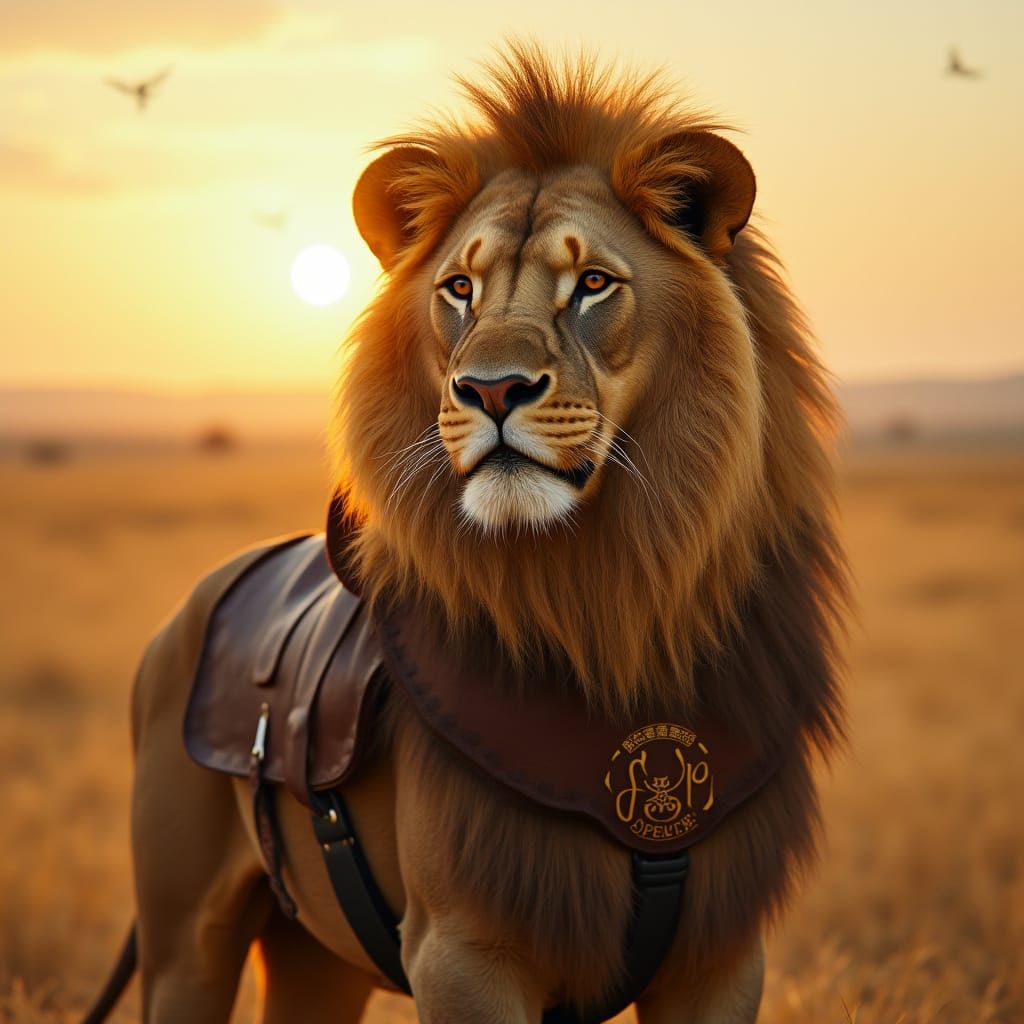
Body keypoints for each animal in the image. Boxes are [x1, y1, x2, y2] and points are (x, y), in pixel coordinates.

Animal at [84, 43, 847, 1024]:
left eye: (592, 284)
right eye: (459, 289)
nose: (490, 389)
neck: (614, 602)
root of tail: (200, 597)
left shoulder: (720, 951)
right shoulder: (462, 947)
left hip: (314, 962)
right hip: (185, 943)